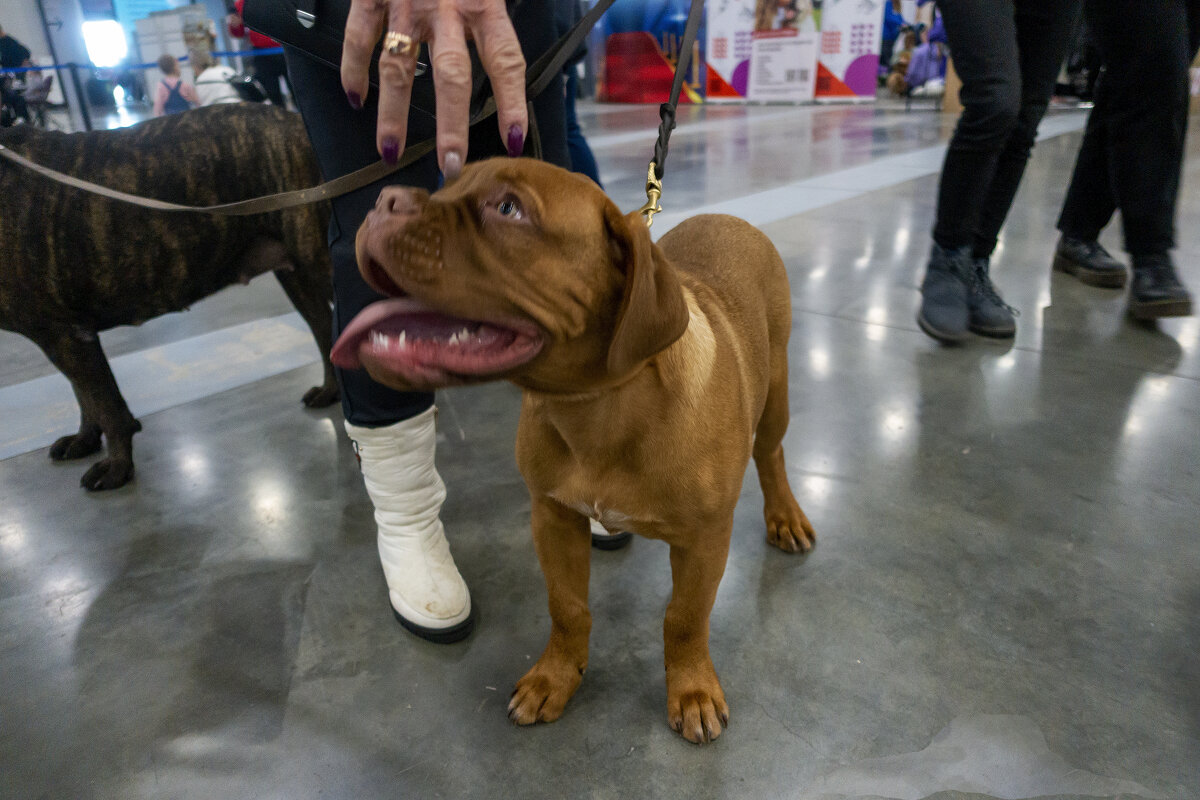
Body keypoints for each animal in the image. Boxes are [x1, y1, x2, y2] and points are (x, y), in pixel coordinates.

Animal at [1, 103, 338, 491]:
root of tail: (298, 121)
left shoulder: (61, 333)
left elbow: (107, 404)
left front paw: (116, 467)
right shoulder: (68, 333)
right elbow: (84, 395)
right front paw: (83, 440)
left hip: (319, 256)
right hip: (295, 272)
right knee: (325, 327)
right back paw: (331, 391)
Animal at [333, 155, 811, 743]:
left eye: (508, 208)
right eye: (448, 181)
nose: (385, 200)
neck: (600, 410)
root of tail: (729, 218)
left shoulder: (705, 542)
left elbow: (684, 618)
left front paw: (692, 689)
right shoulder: (554, 517)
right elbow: (567, 607)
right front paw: (555, 677)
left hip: (776, 394)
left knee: (772, 455)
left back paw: (785, 515)